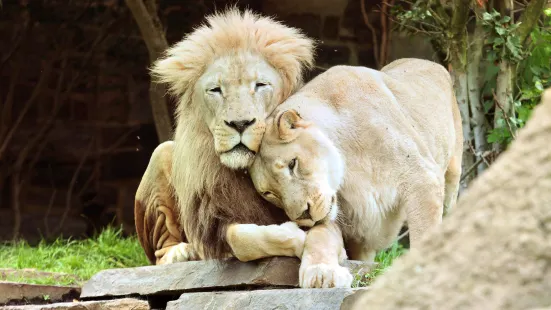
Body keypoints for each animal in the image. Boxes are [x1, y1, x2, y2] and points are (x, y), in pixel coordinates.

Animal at [135, 9, 314, 266]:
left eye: (260, 85)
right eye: (216, 89)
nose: (240, 124)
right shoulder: (214, 222)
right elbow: (241, 238)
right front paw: (298, 238)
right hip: (162, 153)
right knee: (160, 250)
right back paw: (179, 253)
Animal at [249, 58, 462, 288]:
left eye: (293, 164)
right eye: (269, 194)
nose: (303, 216)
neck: (350, 163)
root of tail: (427, 61)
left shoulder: (422, 177)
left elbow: (424, 233)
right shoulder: (343, 219)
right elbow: (319, 235)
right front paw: (321, 272)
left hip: (453, 171)